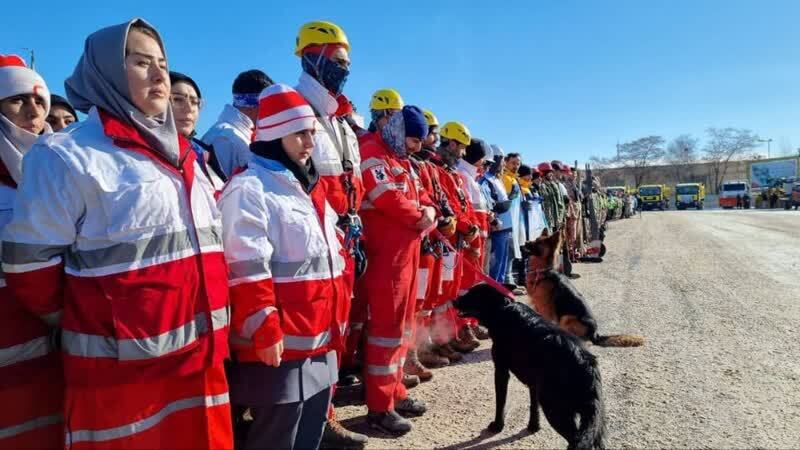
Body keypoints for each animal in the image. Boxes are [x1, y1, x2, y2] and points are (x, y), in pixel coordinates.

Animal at [454, 284, 604, 450]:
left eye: (471, 295)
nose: (454, 301)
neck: (502, 310)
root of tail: (587, 364)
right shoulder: (534, 382)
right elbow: (533, 406)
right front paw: (533, 426)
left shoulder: (501, 371)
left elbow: (501, 403)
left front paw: (498, 426)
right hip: (593, 423)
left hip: (555, 409)